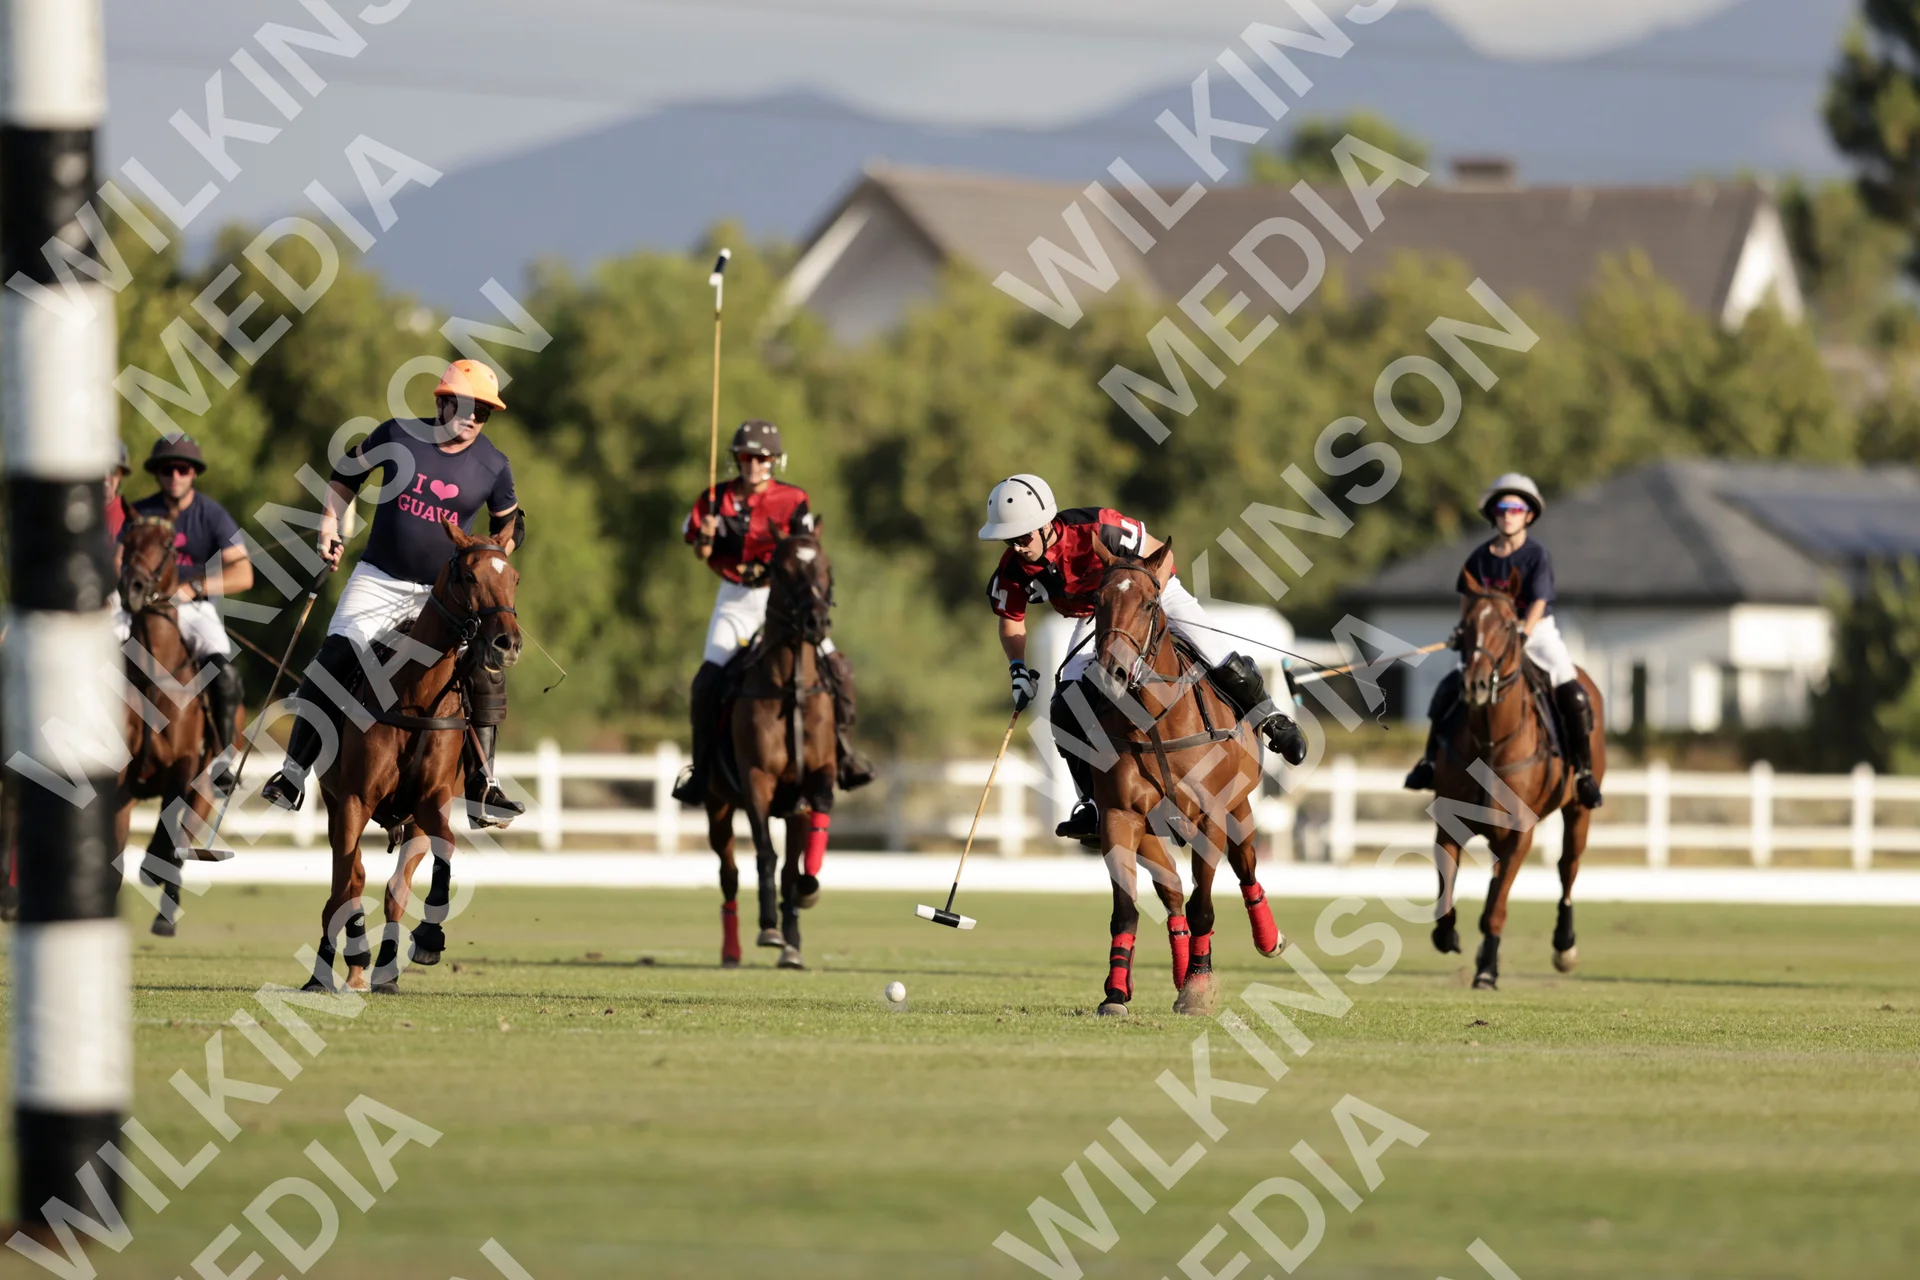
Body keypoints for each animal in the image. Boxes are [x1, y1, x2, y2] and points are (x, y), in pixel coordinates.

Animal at [114, 516, 233, 937]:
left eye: (168, 545)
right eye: (128, 539)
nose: (132, 588)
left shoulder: (183, 765)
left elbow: (170, 833)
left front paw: (154, 868)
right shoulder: (119, 774)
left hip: (206, 788)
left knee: (185, 836)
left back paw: (165, 911)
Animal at [302, 518, 520, 994]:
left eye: (514, 578)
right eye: (470, 575)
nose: (507, 643)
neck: (416, 696)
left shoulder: (429, 803)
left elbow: (429, 862)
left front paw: (422, 944)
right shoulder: (355, 800)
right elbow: (349, 881)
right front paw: (354, 959)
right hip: (333, 802)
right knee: (342, 885)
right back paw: (327, 971)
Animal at [699, 528, 837, 970]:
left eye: (825, 565)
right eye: (782, 567)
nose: (815, 622)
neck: (790, 685)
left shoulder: (819, 773)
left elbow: (809, 838)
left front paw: (808, 891)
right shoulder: (757, 778)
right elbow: (764, 852)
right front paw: (768, 927)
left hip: (791, 811)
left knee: (790, 867)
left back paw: (793, 944)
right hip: (717, 804)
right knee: (728, 873)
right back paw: (732, 950)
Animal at [1081, 538, 1286, 1017]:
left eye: (1149, 603)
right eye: (1097, 601)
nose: (1113, 674)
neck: (1154, 719)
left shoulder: (1211, 819)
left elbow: (1203, 909)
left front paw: (1198, 987)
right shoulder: (1119, 817)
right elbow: (1127, 909)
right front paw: (1115, 994)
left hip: (1240, 811)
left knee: (1246, 872)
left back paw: (1265, 941)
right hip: (1151, 833)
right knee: (1172, 890)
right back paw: (1176, 970)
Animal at [1429, 572, 1606, 989]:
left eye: (1509, 625)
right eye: (1466, 624)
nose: (1475, 685)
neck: (1491, 741)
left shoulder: (1520, 833)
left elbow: (1496, 908)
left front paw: (1486, 972)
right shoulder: (1448, 823)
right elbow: (1447, 888)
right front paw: (1448, 936)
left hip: (1578, 810)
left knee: (1567, 866)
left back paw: (1564, 946)